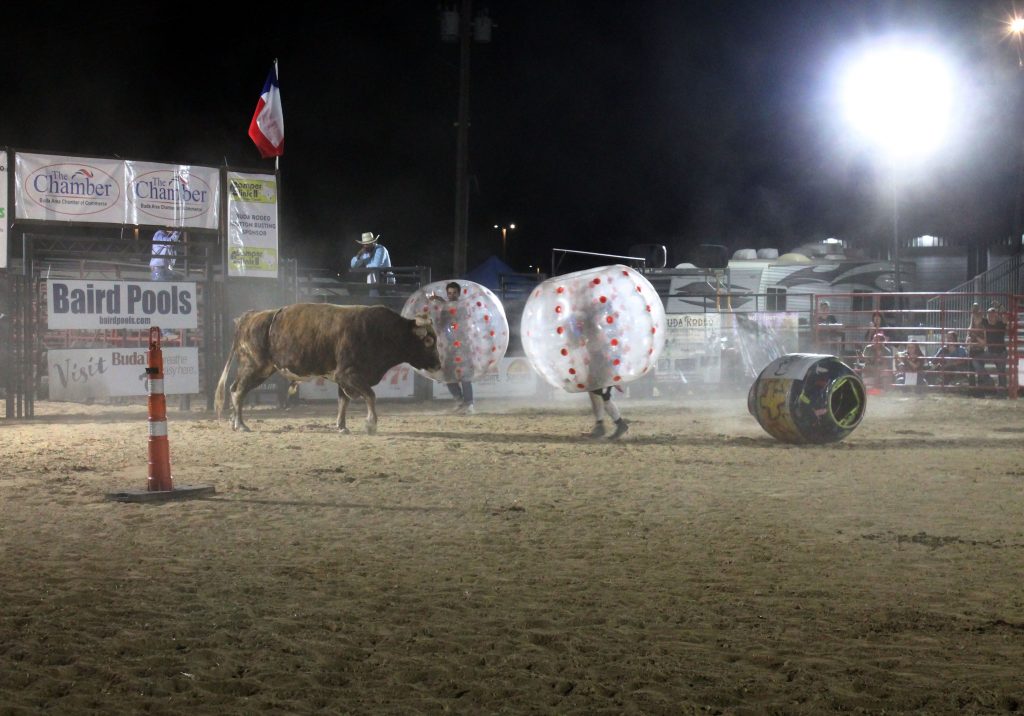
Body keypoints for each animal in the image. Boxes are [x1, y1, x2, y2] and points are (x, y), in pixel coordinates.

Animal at [216, 301, 440, 432]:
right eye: (429, 341)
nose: (438, 364)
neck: (382, 332)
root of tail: (249, 317)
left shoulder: (343, 378)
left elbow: (343, 401)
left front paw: (342, 426)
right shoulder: (348, 374)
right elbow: (370, 395)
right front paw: (370, 423)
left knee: (236, 389)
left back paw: (235, 422)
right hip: (256, 367)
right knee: (237, 391)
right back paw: (241, 425)